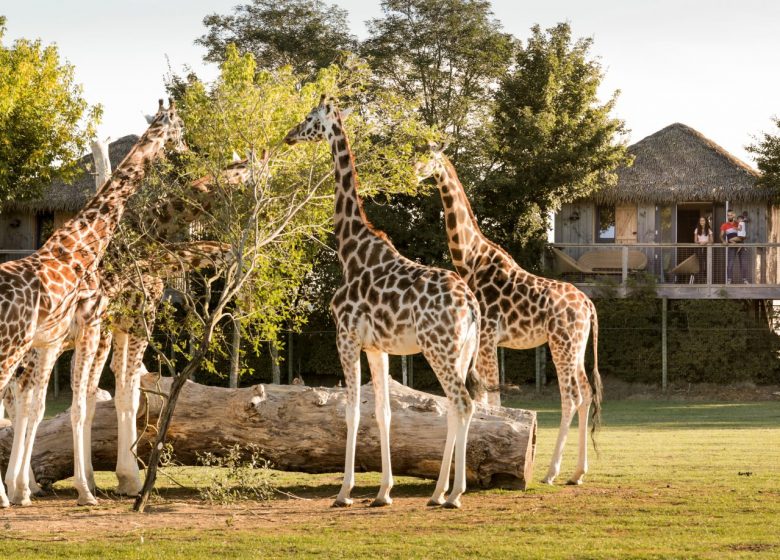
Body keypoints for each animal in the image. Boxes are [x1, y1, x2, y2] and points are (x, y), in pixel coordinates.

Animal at [0, 98, 184, 506]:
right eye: (180, 125)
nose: (185, 151)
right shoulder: (108, 323)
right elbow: (95, 401)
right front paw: (98, 487)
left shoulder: (72, 338)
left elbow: (75, 400)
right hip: (13, 346)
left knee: (19, 400)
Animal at [284, 96, 482, 508]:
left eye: (310, 118)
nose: (290, 135)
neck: (350, 250)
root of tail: (471, 306)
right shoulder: (378, 347)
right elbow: (384, 412)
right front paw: (383, 492)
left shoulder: (345, 337)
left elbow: (351, 412)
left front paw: (344, 492)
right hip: (460, 351)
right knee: (456, 407)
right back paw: (439, 493)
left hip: (438, 348)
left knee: (462, 403)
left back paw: (455, 494)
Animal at [418, 147, 600, 484]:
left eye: (427, 156)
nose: (413, 172)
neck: (470, 260)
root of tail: (587, 303)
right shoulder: (484, 342)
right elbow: (484, 397)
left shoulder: (488, 338)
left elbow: (492, 399)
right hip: (578, 346)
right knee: (587, 392)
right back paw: (577, 473)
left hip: (562, 344)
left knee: (571, 396)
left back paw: (551, 472)